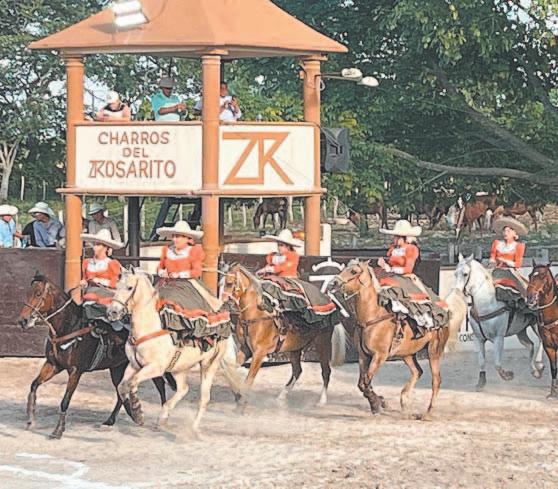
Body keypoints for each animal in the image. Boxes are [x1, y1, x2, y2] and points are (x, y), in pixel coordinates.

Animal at [17, 274, 169, 439]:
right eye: (27, 293)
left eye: (38, 294)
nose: (23, 321)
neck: (70, 326)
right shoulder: (53, 365)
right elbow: (34, 385)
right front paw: (30, 419)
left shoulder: (75, 371)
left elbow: (65, 401)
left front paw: (58, 430)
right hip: (117, 368)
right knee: (120, 392)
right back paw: (115, 419)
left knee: (160, 386)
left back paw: (159, 419)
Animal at [106, 270, 244, 435]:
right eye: (117, 286)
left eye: (129, 287)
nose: (112, 312)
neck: (149, 327)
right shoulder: (134, 365)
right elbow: (122, 386)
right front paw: (136, 414)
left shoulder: (155, 368)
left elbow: (132, 382)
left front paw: (137, 412)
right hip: (179, 368)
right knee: (183, 389)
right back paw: (163, 417)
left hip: (209, 365)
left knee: (204, 398)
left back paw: (192, 428)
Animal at [220, 264, 346, 405]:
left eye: (229, 283)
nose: (222, 305)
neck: (256, 314)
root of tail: (330, 303)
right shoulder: (245, 349)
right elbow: (230, 370)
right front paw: (237, 393)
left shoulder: (259, 353)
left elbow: (249, 379)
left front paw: (242, 399)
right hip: (295, 348)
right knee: (297, 370)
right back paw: (281, 396)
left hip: (322, 343)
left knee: (325, 371)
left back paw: (322, 401)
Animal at [328, 260, 464, 418]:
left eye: (354, 271)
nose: (333, 283)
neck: (373, 316)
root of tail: (446, 312)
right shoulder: (363, 356)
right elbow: (362, 384)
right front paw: (380, 402)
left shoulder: (379, 356)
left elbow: (366, 382)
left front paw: (377, 404)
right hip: (408, 354)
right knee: (417, 371)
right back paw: (404, 400)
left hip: (434, 352)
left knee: (436, 381)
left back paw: (427, 413)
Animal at [454, 255, 544, 390]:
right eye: (455, 273)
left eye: (465, 274)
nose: (457, 291)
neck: (487, 303)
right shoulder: (478, 338)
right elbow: (481, 361)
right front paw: (481, 382)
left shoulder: (498, 337)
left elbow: (497, 363)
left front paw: (507, 375)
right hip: (521, 331)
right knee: (530, 346)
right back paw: (535, 371)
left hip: (537, 325)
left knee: (542, 341)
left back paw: (539, 364)